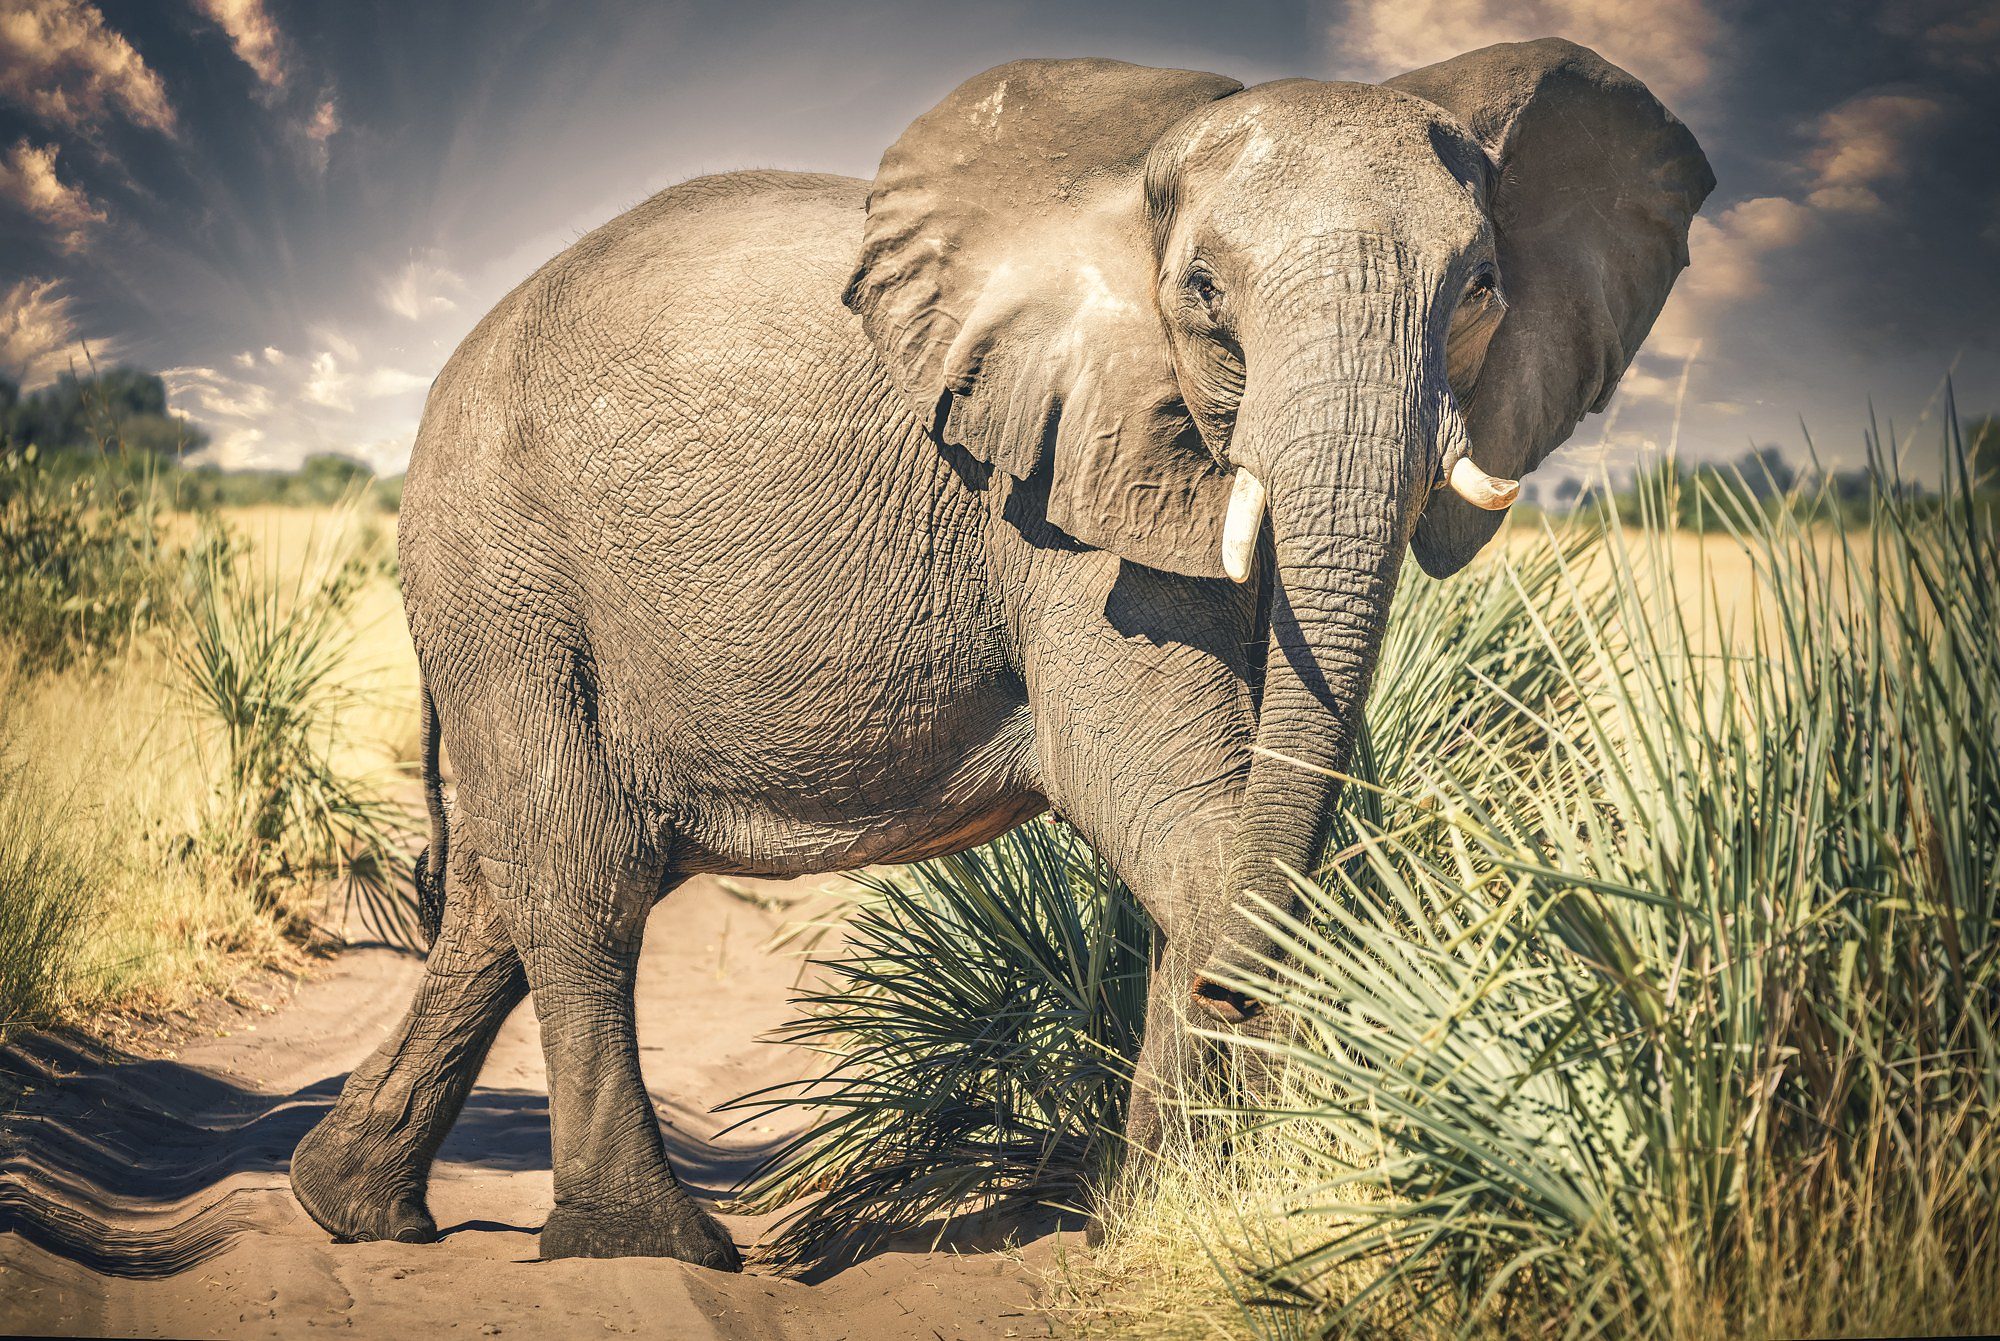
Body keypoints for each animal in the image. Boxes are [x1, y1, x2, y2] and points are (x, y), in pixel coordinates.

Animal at [290, 38, 1711, 1268]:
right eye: (1201, 294)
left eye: (1480, 291)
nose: (1238, 1007)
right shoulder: (1051, 483)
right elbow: (1172, 804)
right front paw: (1193, 1208)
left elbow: (1257, 803)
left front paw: (1158, 1213)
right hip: (504, 571)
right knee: (578, 879)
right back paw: (647, 1249)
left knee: (501, 889)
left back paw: (351, 1209)